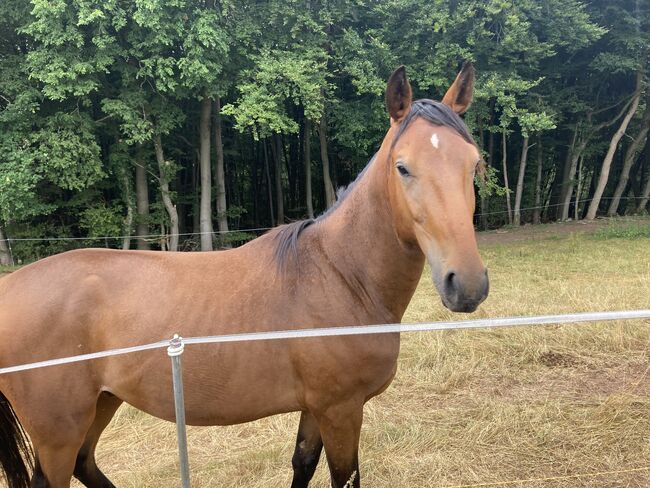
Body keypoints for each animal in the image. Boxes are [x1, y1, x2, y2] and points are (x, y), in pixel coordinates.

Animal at [0, 65, 486, 488]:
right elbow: (343, 477)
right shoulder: (341, 410)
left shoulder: (316, 409)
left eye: (474, 163)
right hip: (59, 431)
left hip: (101, 403)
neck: (341, 275)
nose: (467, 283)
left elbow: (302, 464)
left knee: (86, 462)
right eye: (403, 167)